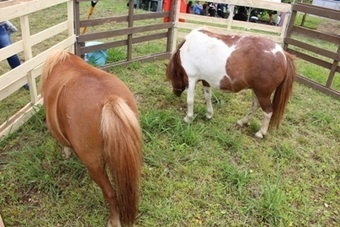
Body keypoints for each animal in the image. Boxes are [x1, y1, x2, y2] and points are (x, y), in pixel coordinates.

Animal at [166, 28, 296, 138]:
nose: (175, 93)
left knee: (268, 111)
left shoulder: (191, 79)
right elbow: (207, 97)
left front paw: (188, 118)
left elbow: (190, 100)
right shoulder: (205, 80)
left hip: (262, 93)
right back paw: (242, 122)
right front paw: (209, 114)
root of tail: (283, 54)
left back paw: (261, 133)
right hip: (256, 91)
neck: (188, 47)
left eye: (172, 77)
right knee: (255, 106)